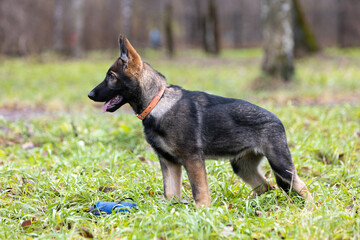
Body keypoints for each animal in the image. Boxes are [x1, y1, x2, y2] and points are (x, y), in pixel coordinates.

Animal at [88, 36, 310, 207]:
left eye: (111, 76)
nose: (90, 95)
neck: (156, 101)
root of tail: (277, 120)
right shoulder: (168, 162)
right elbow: (170, 193)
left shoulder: (192, 159)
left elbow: (199, 191)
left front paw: (202, 212)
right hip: (242, 166)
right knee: (266, 186)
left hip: (281, 165)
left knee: (303, 188)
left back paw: (309, 209)